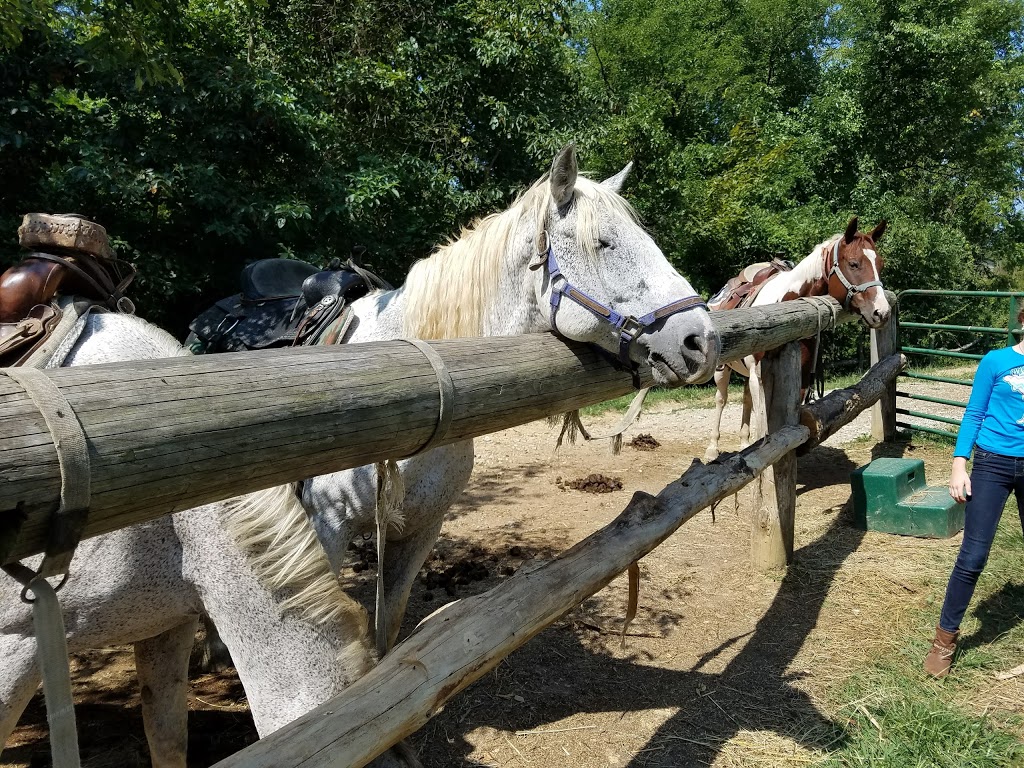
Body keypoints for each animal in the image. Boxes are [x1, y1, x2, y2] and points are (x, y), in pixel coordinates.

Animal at [704, 217, 888, 460]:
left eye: (880, 265)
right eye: (854, 264)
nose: (881, 312)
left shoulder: (800, 377)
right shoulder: (758, 376)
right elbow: (763, 425)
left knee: (745, 398)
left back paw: (743, 443)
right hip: (723, 369)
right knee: (721, 399)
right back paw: (712, 449)